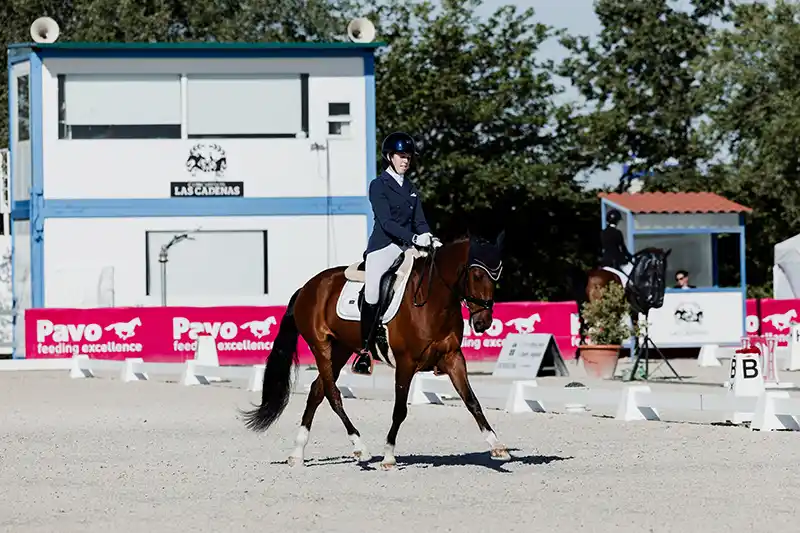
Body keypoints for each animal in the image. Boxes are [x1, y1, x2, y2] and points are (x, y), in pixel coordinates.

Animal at [241, 231, 510, 468]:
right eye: (477, 274)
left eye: (497, 276)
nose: (483, 323)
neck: (432, 300)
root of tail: (308, 286)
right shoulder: (406, 362)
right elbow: (399, 410)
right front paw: (388, 456)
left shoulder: (453, 358)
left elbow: (472, 400)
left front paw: (497, 446)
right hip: (321, 346)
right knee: (332, 394)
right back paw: (360, 448)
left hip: (340, 349)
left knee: (317, 391)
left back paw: (297, 453)